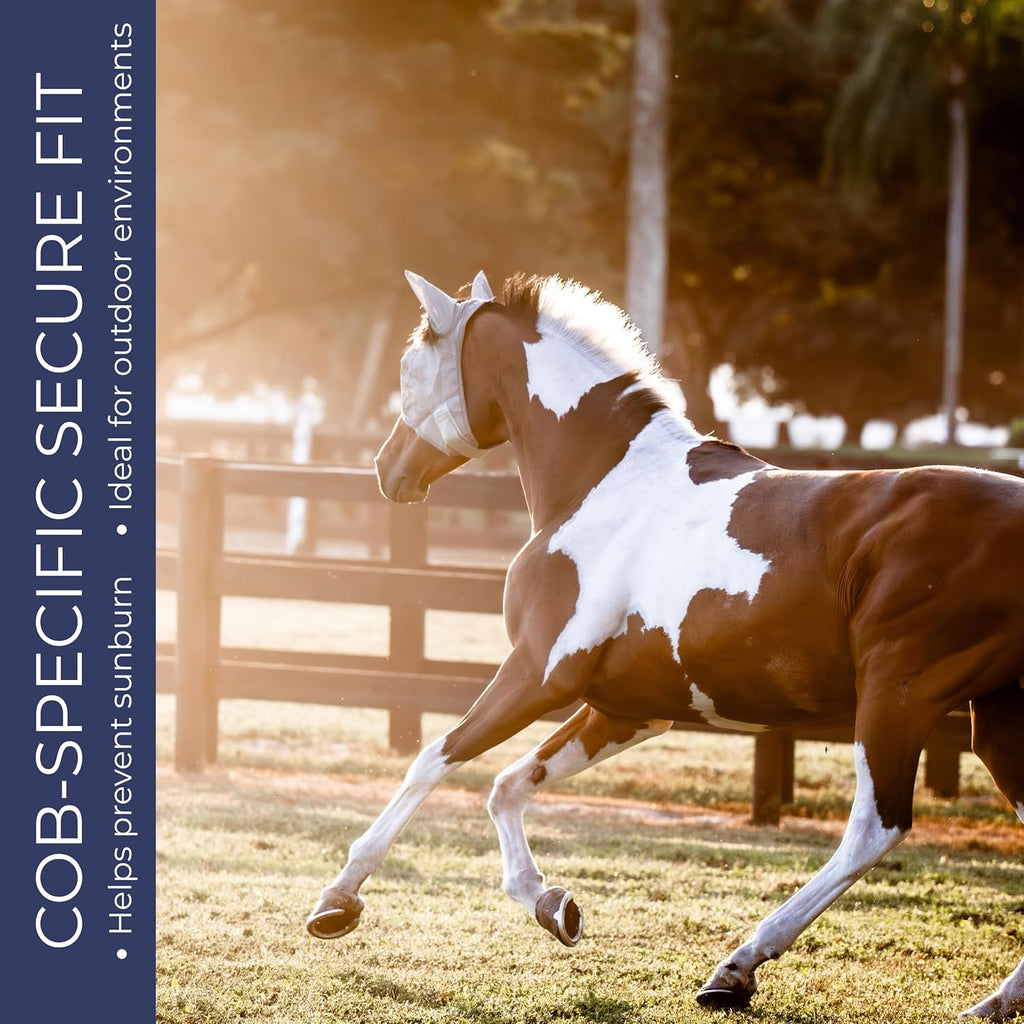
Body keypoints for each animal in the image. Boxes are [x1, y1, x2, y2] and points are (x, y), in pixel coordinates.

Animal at [306, 269, 1024, 1020]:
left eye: (410, 368)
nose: (387, 471)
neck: (608, 484)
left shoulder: (538, 674)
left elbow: (433, 759)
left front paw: (336, 902)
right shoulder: (627, 710)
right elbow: (509, 786)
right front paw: (554, 906)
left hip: (898, 697)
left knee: (874, 829)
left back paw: (736, 968)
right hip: (997, 716)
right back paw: (989, 1002)